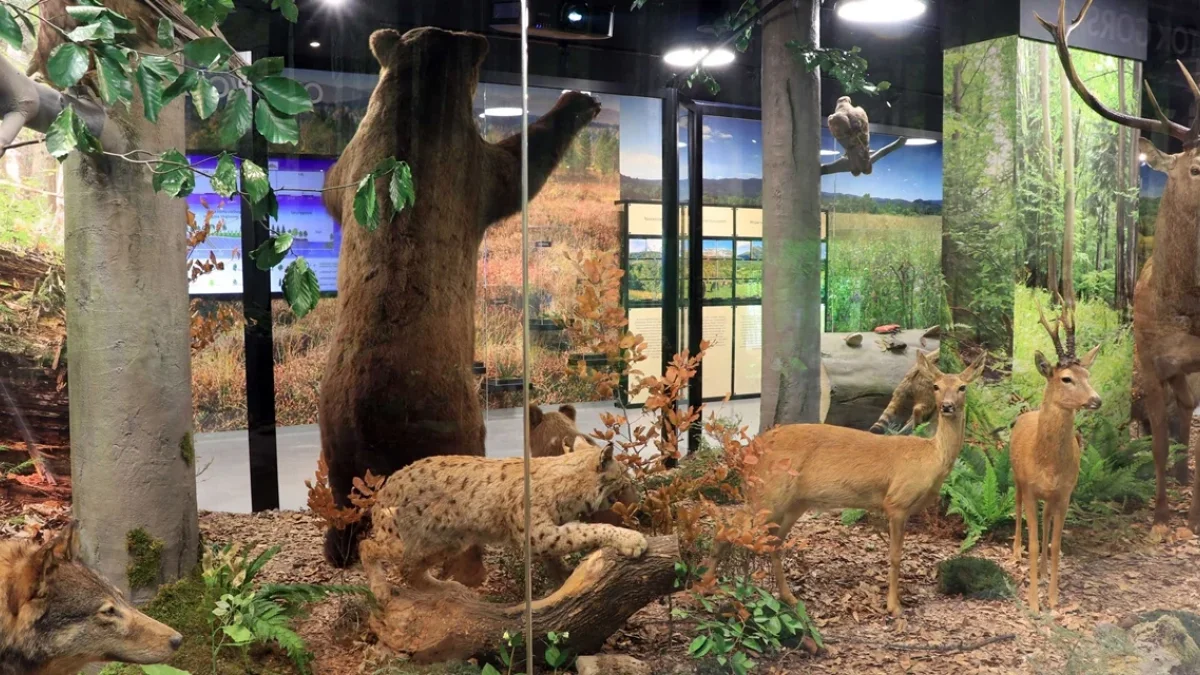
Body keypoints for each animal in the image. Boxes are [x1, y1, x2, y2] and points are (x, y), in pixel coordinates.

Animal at [319, 26, 601, 569]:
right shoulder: (474, 169)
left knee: (344, 497)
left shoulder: (354, 158)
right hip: (454, 421)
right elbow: (520, 165)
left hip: (335, 428)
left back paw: (338, 546)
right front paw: (576, 101)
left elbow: (330, 187)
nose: (588, 96)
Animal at [706, 352, 985, 617]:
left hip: (793, 503)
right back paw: (705, 586)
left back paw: (788, 598)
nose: (947, 406)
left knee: (773, 544)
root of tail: (750, 451)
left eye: (963, 387)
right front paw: (894, 607)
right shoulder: (896, 502)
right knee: (726, 528)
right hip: (767, 492)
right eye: (936, 386)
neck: (932, 458)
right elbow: (895, 556)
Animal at [1009, 295, 1102, 613]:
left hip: (1049, 497)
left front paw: (1052, 599)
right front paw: (1033, 603)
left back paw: (1043, 570)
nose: (1096, 399)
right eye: (1066, 378)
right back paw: (1015, 554)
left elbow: (1056, 543)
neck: (1047, 462)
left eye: (1087, 374)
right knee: (1017, 510)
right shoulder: (1029, 487)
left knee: (1047, 522)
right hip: (1015, 478)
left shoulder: (1065, 493)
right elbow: (1036, 541)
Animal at [1039, 0, 1200, 533]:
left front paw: (1189, 516)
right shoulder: (1149, 360)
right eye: (1196, 166)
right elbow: (1156, 442)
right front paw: (1161, 513)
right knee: (1177, 418)